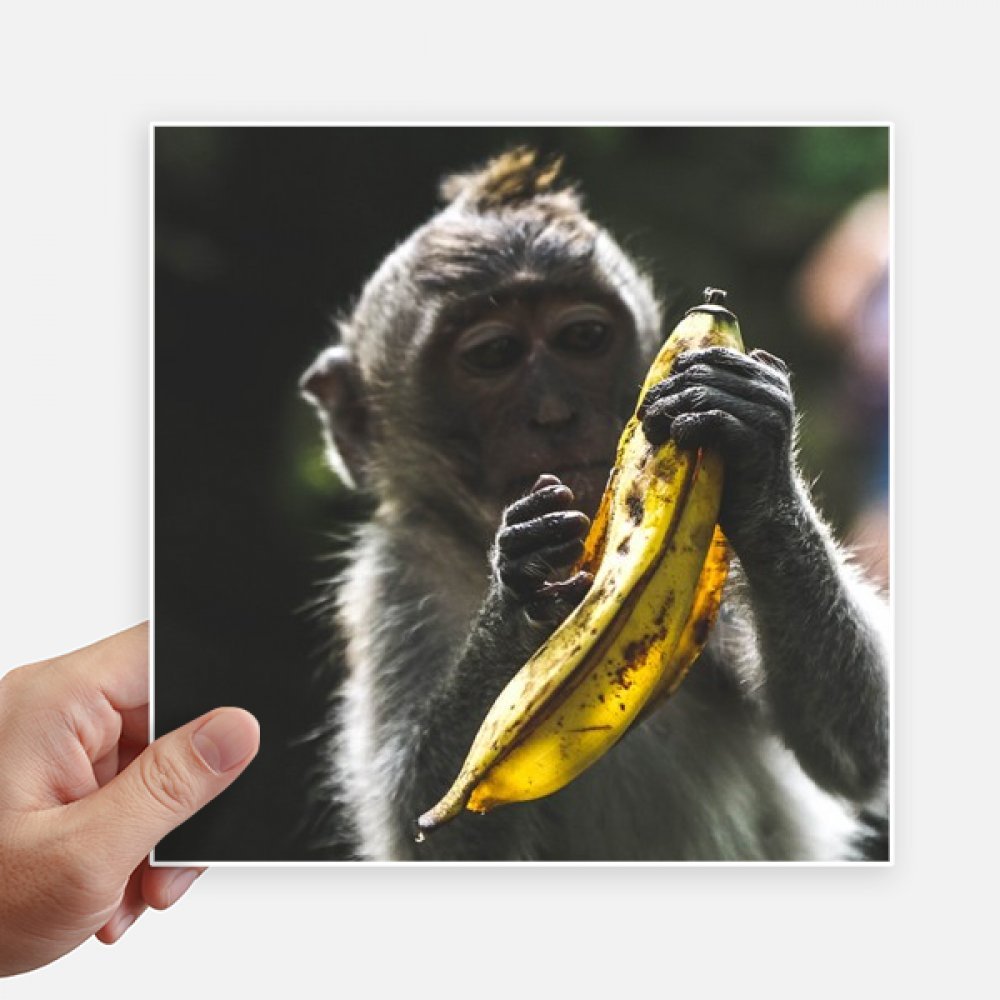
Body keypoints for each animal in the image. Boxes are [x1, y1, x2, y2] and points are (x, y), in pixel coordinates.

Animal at [301, 148, 890, 862]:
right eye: (495, 354)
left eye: (582, 338)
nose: (555, 411)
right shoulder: (393, 582)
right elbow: (424, 836)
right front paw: (521, 587)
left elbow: (859, 746)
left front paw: (761, 459)